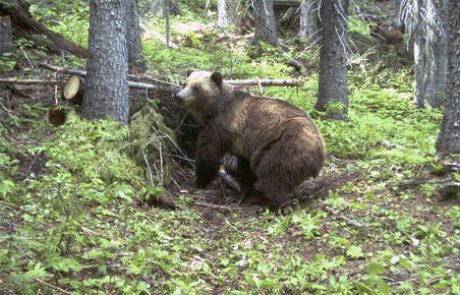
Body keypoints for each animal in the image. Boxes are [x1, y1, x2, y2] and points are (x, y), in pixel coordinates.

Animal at [177, 71, 328, 210]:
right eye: (185, 83)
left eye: (196, 87)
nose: (179, 96)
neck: (213, 110)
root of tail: (320, 154)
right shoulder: (243, 143)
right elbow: (245, 167)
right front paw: (245, 189)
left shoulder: (221, 127)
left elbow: (208, 154)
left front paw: (199, 182)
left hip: (285, 146)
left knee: (273, 175)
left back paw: (273, 203)